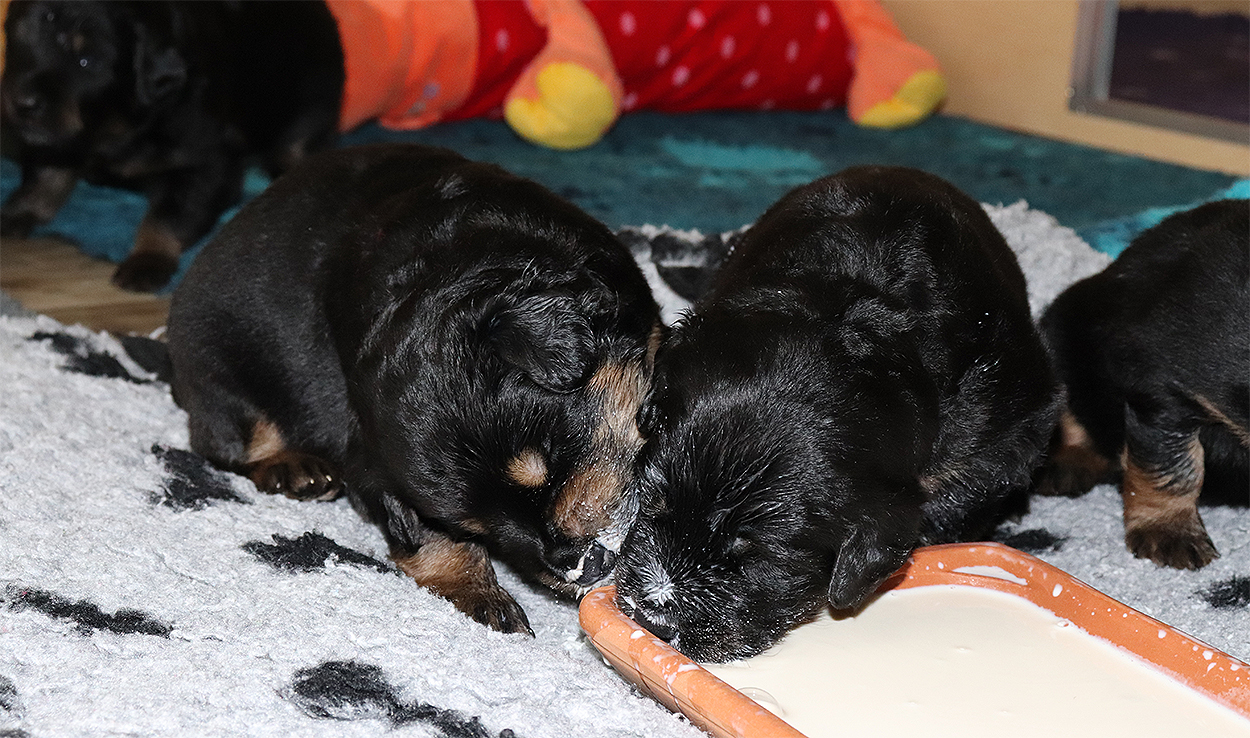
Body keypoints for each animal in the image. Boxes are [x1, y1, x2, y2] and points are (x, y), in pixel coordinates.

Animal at [0, 0, 342, 291]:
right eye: (20, 41)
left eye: (87, 61)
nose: (22, 104)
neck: (118, 128)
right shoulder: (53, 139)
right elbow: (46, 174)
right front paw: (20, 211)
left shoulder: (207, 160)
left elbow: (170, 214)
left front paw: (148, 259)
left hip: (310, 113)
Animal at [166, 143, 662, 634]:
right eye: (476, 530)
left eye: (552, 463)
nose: (575, 565)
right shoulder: (365, 455)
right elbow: (425, 537)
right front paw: (482, 595)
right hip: (217, 367)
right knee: (227, 443)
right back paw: (294, 468)